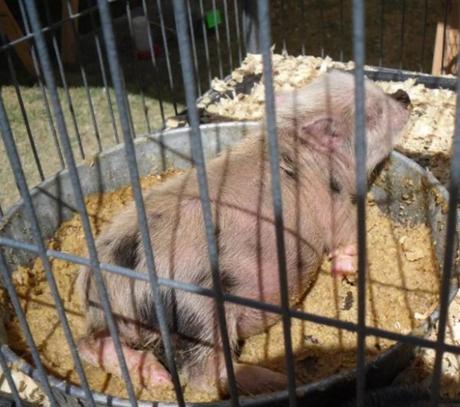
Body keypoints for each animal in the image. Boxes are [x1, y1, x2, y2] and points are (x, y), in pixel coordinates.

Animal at [76, 70, 410, 398]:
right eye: (374, 113)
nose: (403, 96)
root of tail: (116, 283)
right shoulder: (334, 206)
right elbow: (348, 236)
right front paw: (345, 269)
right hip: (198, 311)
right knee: (203, 375)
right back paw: (271, 379)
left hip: (119, 321)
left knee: (89, 345)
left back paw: (156, 376)